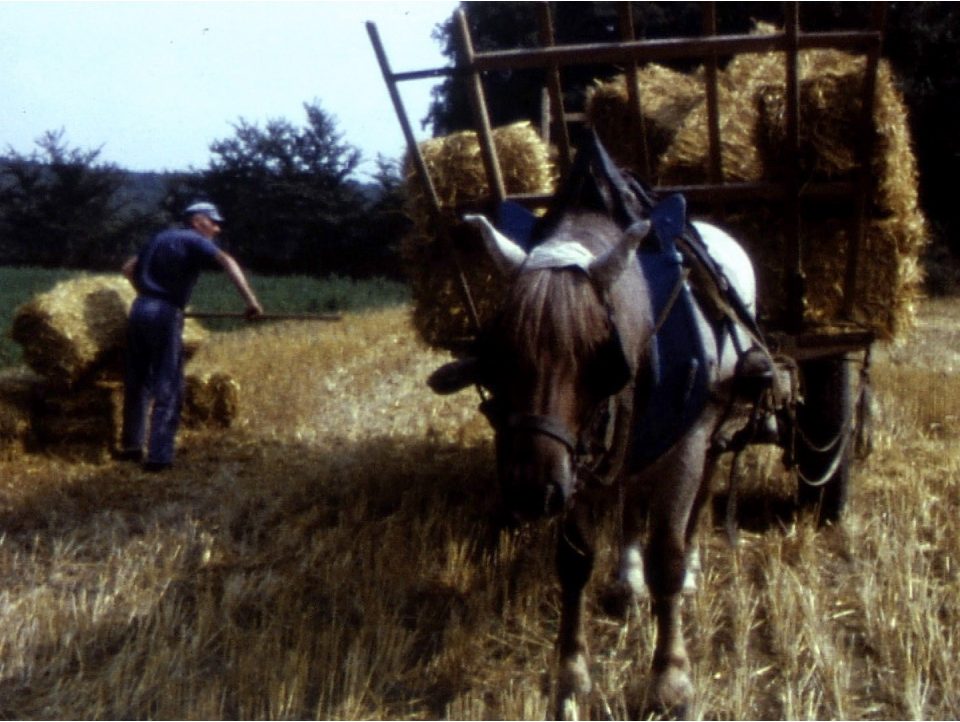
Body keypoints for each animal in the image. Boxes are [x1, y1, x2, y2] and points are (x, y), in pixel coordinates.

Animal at [428, 138, 764, 712]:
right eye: (496, 354)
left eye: (601, 360)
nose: (531, 491)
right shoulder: (577, 457)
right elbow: (575, 560)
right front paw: (571, 673)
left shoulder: (679, 444)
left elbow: (667, 555)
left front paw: (670, 678)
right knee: (629, 495)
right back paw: (627, 576)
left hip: (713, 421)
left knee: (701, 496)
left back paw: (689, 565)